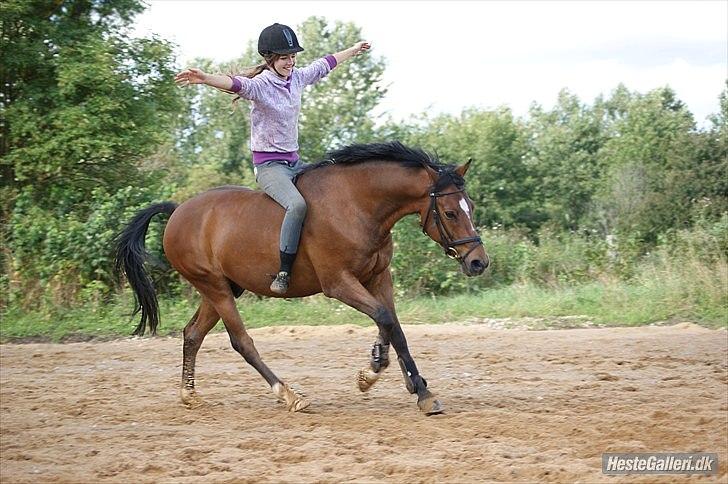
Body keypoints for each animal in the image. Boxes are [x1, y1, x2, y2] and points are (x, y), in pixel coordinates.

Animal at [115, 142, 490, 414]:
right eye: (450, 213)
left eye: (470, 206)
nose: (478, 263)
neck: (357, 205)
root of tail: (178, 211)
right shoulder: (339, 283)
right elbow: (384, 318)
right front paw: (380, 374)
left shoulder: (378, 278)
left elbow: (393, 326)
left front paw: (405, 381)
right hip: (215, 287)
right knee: (242, 341)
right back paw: (288, 395)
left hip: (219, 289)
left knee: (193, 334)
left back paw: (190, 395)